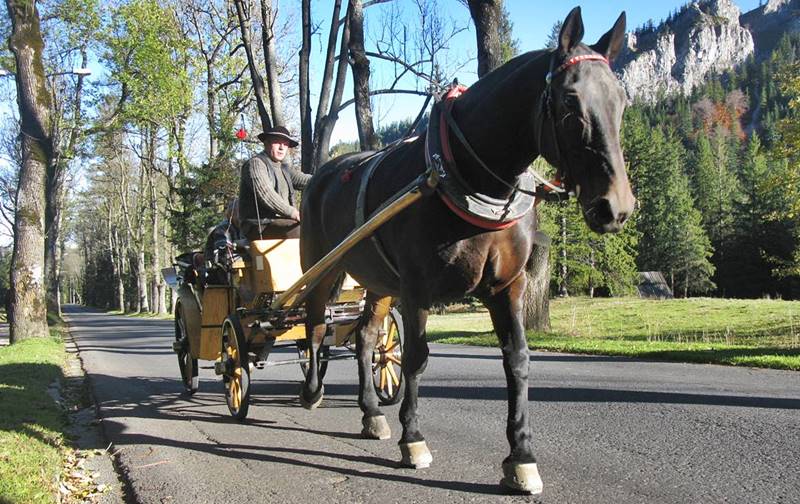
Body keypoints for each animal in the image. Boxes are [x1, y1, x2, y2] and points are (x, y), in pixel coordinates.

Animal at [296, 6, 636, 496]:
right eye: (570, 102)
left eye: (622, 101)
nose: (617, 207)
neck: (468, 176)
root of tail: (322, 173)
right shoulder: (416, 289)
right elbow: (416, 359)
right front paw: (413, 439)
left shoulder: (507, 287)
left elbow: (517, 360)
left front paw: (521, 457)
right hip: (322, 267)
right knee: (315, 327)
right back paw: (312, 390)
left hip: (378, 282)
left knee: (365, 338)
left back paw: (371, 413)